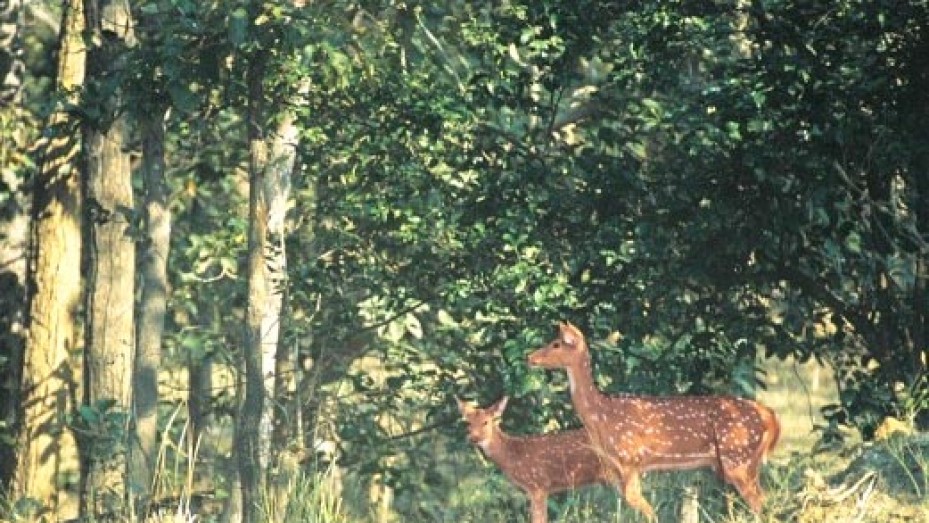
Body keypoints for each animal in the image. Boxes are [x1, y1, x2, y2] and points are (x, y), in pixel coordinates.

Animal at [527, 322, 781, 521]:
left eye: (556, 344)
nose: (529, 357)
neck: (601, 416)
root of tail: (769, 416)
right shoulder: (623, 467)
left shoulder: (630, 458)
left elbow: (644, 507)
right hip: (747, 462)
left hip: (737, 457)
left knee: (760, 502)